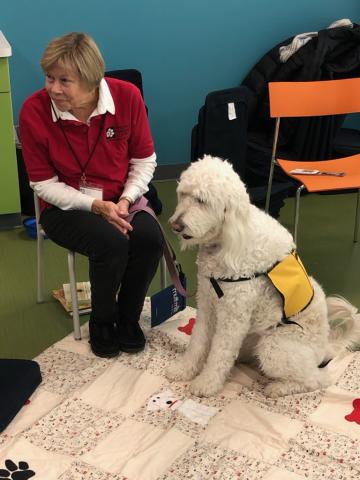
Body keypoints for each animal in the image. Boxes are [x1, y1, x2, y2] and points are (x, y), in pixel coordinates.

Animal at [166, 155, 360, 398]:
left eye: (202, 201)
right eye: (183, 194)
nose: (175, 225)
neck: (227, 239)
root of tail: (325, 347)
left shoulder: (233, 317)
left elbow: (219, 353)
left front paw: (207, 383)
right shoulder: (207, 304)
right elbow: (198, 343)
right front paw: (184, 370)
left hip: (273, 347)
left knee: (318, 379)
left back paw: (278, 388)